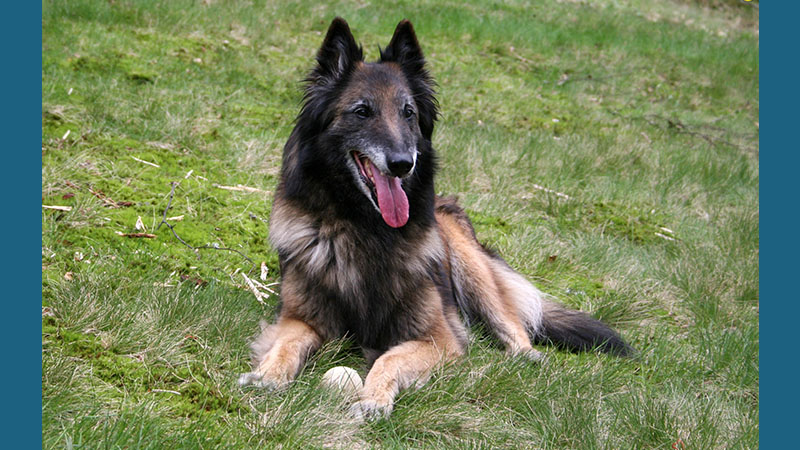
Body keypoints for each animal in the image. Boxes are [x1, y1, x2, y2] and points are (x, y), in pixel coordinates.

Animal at [238, 16, 632, 418]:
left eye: (408, 113)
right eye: (362, 111)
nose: (402, 163)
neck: (364, 227)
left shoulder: (439, 337)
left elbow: (390, 359)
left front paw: (373, 399)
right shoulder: (298, 318)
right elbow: (285, 345)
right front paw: (267, 375)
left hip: (469, 264)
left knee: (510, 320)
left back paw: (527, 355)